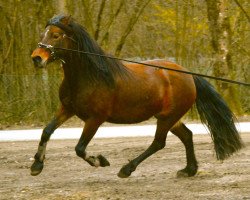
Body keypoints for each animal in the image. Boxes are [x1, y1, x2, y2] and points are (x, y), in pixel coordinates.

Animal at [30, 15, 243, 178]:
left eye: (56, 35)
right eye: (42, 34)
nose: (37, 58)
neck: (89, 76)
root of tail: (187, 74)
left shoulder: (95, 119)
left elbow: (80, 148)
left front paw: (100, 161)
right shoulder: (67, 108)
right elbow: (46, 131)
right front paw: (36, 166)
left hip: (167, 118)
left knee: (158, 143)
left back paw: (127, 169)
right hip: (169, 117)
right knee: (187, 136)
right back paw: (188, 170)